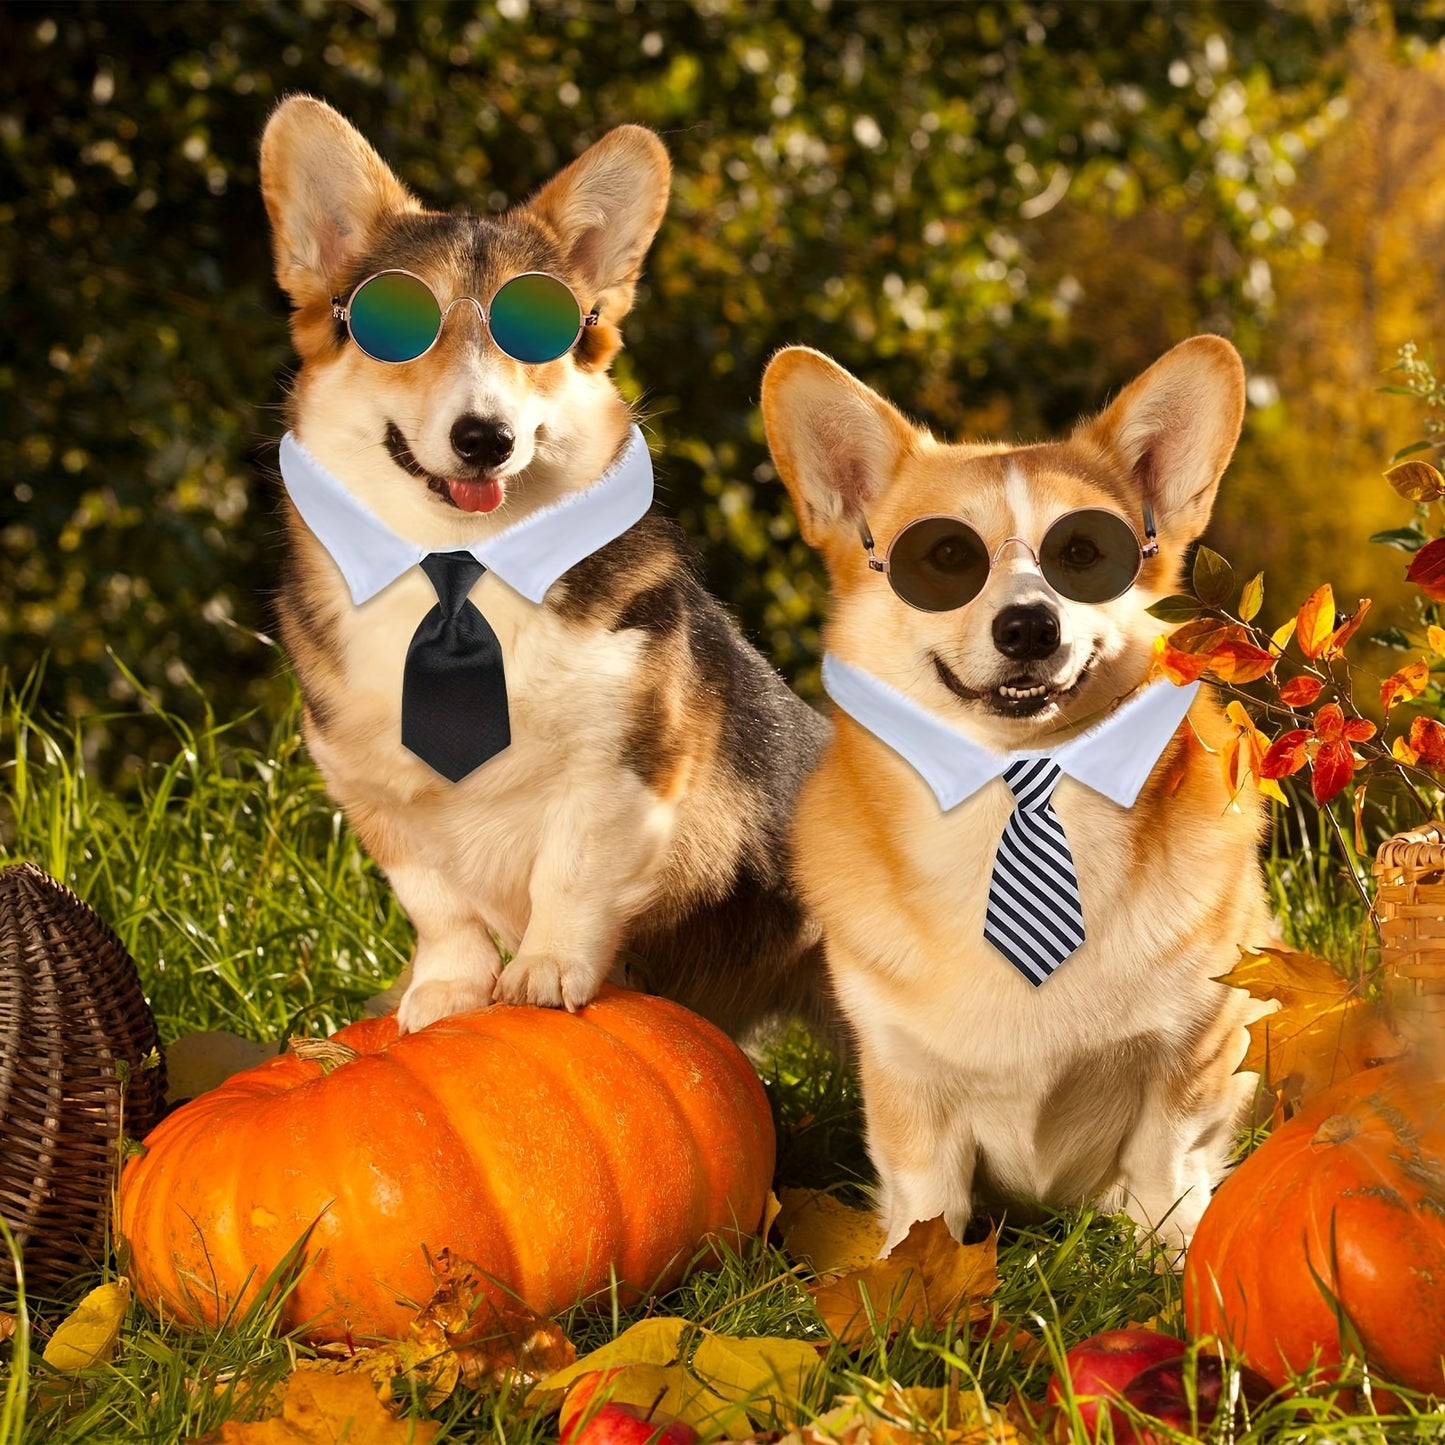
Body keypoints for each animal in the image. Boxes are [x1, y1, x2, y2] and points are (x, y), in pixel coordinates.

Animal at [257, 93, 826, 1040]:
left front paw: (546, 971)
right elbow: (438, 904)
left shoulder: (621, 765)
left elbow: (571, 873)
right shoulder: (377, 796)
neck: (460, 562)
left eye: (536, 332)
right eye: (397, 326)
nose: (484, 438)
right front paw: (444, 994)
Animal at [762, 332, 1271, 1248]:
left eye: (1084, 553)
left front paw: (1171, 1254)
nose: (1030, 626)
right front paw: (912, 1272)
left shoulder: (1196, 1046)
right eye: (944, 557)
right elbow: (926, 1196)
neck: (1018, 781)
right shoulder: (902, 1072)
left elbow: (1165, 1161)